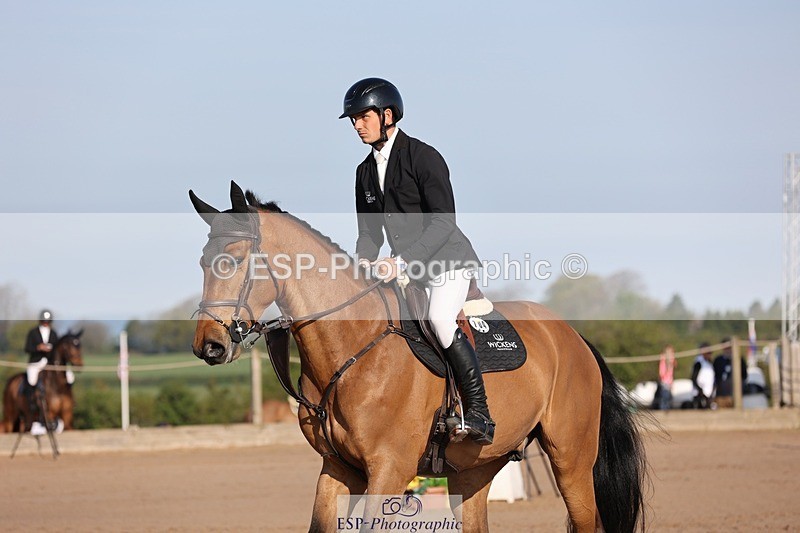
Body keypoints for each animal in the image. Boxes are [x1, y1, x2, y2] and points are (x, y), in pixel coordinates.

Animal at [189, 182, 647, 533]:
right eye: (203, 262)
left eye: (233, 260)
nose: (209, 346)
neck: (352, 346)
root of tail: (573, 336)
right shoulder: (337, 469)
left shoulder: (389, 468)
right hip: (475, 469)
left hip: (571, 460)